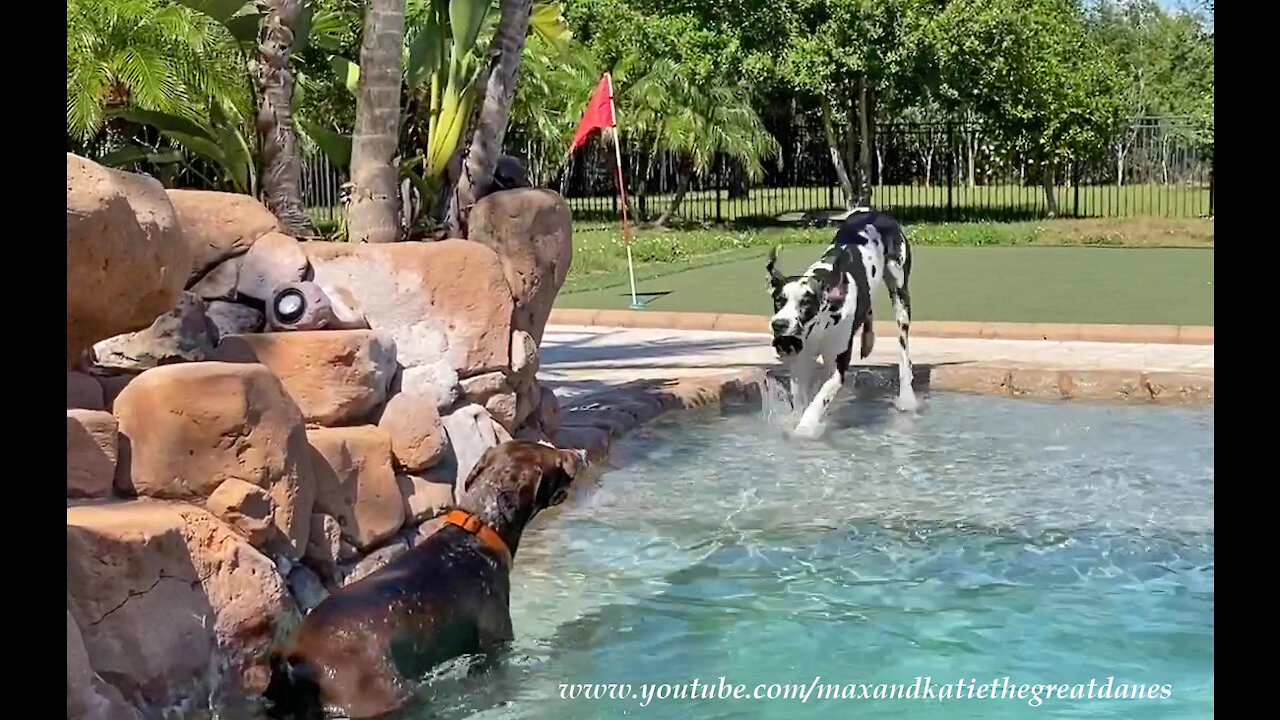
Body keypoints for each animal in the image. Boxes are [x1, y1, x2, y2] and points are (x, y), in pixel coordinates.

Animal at [762, 207, 916, 438]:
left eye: (806, 302)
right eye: (779, 300)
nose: (779, 324)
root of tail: (872, 212)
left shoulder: (838, 368)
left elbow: (820, 398)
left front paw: (806, 427)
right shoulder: (801, 365)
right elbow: (800, 399)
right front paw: (797, 420)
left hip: (900, 298)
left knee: (904, 351)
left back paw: (907, 396)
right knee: (868, 308)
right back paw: (868, 340)